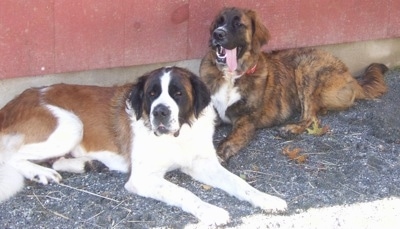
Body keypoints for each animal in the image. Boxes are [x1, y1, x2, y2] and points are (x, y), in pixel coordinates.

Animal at [0, 66, 288, 225]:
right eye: (152, 94)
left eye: (178, 93)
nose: (160, 111)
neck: (176, 137)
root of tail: (13, 102)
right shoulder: (142, 178)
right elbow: (185, 193)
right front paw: (211, 211)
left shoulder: (202, 164)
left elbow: (240, 184)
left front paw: (267, 199)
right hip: (71, 124)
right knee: (10, 156)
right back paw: (41, 173)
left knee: (57, 159)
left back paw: (85, 164)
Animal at [200, 6, 388, 161]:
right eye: (219, 22)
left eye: (238, 24)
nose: (217, 34)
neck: (231, 75)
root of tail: (350, 76)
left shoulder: (245, 121)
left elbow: (227, 141)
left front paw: (217, 156)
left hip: (306, 67)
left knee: (311, 117)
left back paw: (291, 129)